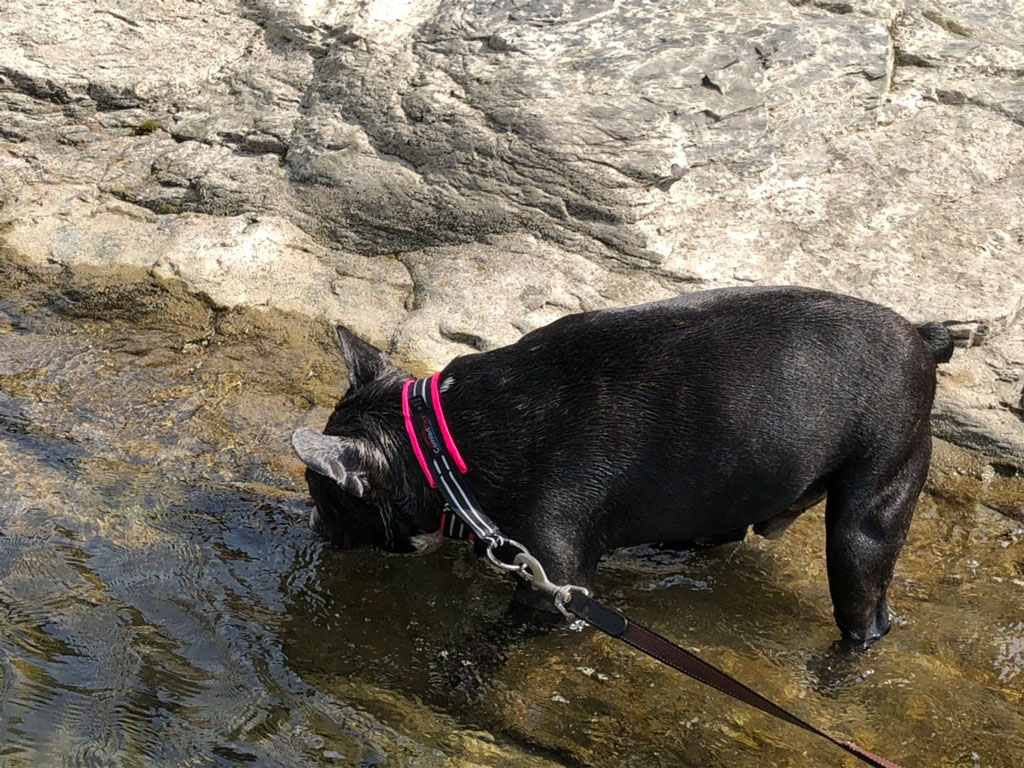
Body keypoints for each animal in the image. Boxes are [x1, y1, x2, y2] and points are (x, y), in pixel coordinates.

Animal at [292, 286, 954, 647]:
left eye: (324, 496)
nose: (315, 525)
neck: (440, 441)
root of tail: (923, 338)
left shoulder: (555, 586)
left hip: (867, 521)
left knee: (865, 612)